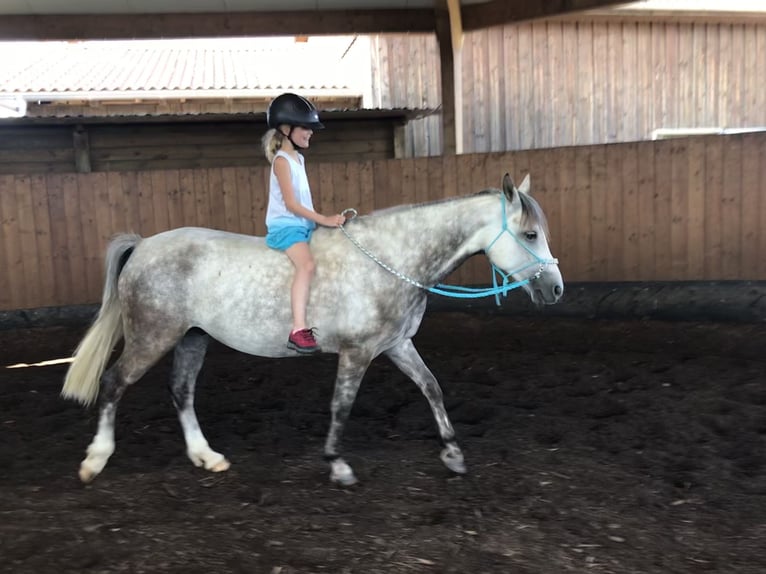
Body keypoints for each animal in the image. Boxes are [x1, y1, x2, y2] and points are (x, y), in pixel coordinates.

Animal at [61, 173, 563, 486]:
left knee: (181, 392)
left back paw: (207, 457)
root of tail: (143, 245)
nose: (556, 289)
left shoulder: (397, 344)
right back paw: (95, 460)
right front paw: (338, 465)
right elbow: (341, 406)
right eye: (530, 235)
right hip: (153, 336)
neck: (392, 257)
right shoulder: (358, 352)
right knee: (114, 383)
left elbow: (432, 388)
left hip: (192, 338)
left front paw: (453, 454)